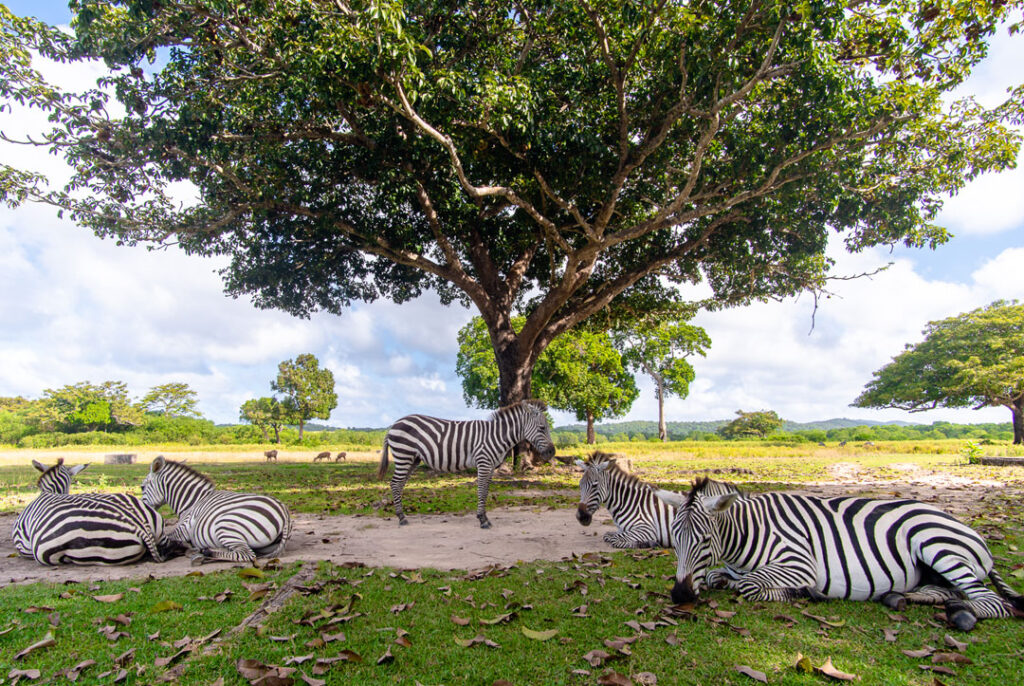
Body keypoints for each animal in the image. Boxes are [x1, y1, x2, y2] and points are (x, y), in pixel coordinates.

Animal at [140, 456, 292, 565]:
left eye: (142, 487)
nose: (143, 507)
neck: (192, 502)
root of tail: (284, 513)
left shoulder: (183, 529)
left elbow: (168, 537)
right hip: (266, 545)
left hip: (225, 525)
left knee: (245, 554)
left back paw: (205, 554)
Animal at [378, 401, 557, 528]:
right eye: (542, 428)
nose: (552, 452)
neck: (497, 436)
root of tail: (394, 424)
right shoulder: (483, 463)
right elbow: (481, 491)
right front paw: (482, 520)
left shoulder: (490, 467)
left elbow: (485, 491)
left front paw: (484, 517)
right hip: (404, 456)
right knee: (395, 483)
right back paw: (401, 518)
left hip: (412, 460)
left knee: (399, 484)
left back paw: (402, 515)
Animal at [655, 479, 1024, 634]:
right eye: (674, 542)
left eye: (704, 540)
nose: (680, 596)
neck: (748, 532)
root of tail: (965, 526)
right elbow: (718, 576)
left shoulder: (800, 562)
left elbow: (749, 584)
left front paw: (802, 593)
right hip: (933, 569)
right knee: (945, 591)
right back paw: (901, 598)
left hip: (937, 545)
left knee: (991, 602)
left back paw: (963, 613)